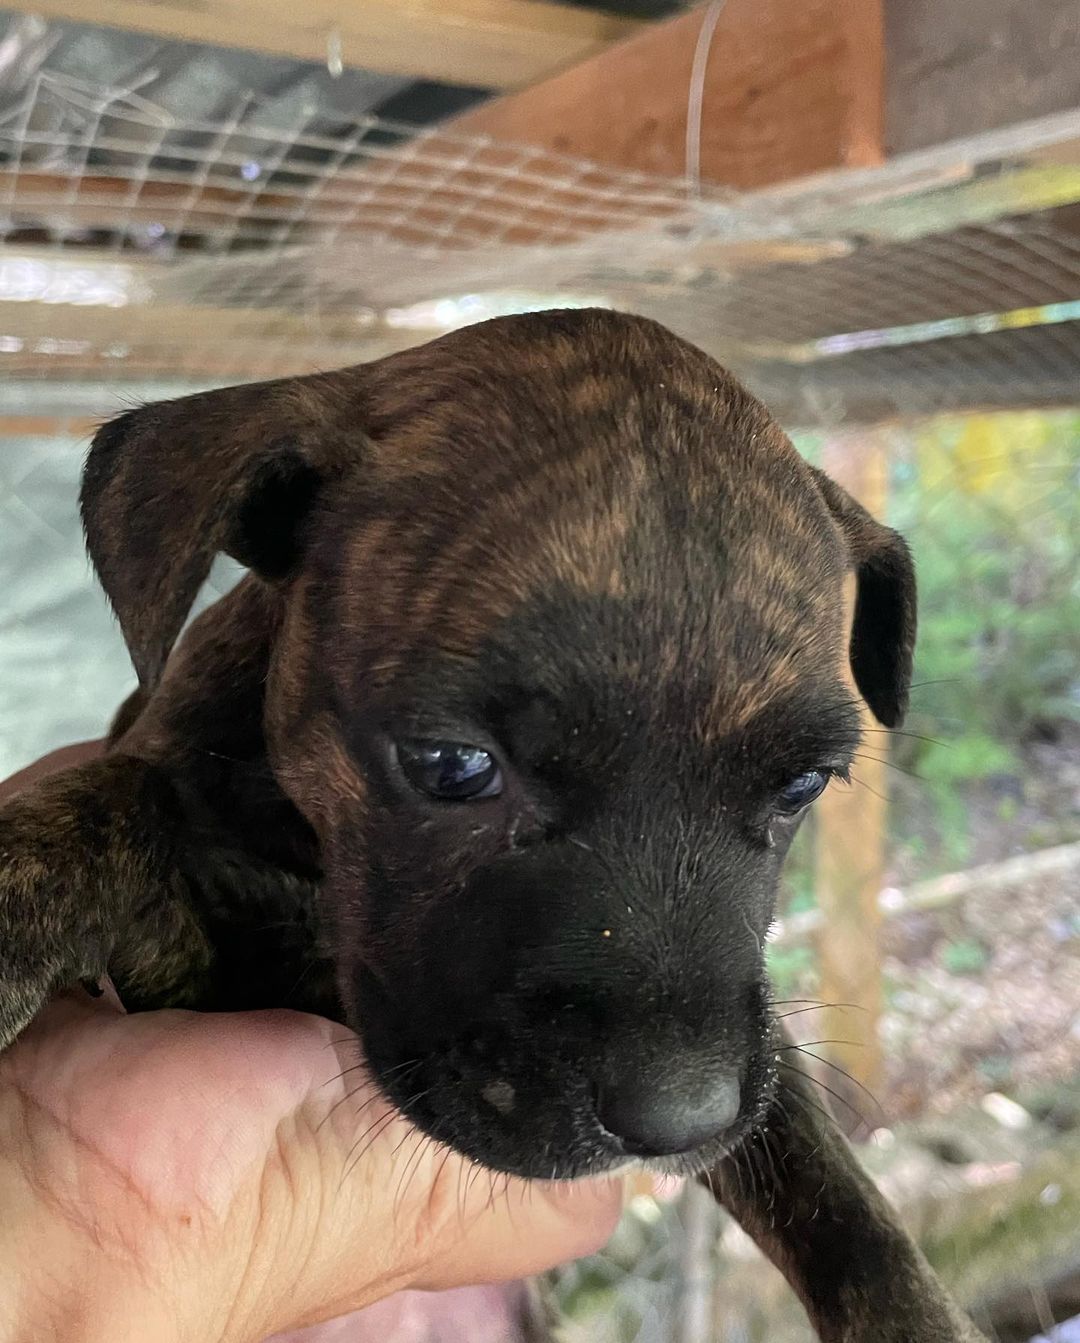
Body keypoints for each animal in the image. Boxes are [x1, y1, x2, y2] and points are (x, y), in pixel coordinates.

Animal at [0, 311, 977, 1343]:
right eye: (453, 766)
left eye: (803, 784)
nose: (681, 1117)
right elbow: (132, 799)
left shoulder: (758, 1059)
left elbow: (834, 1187)